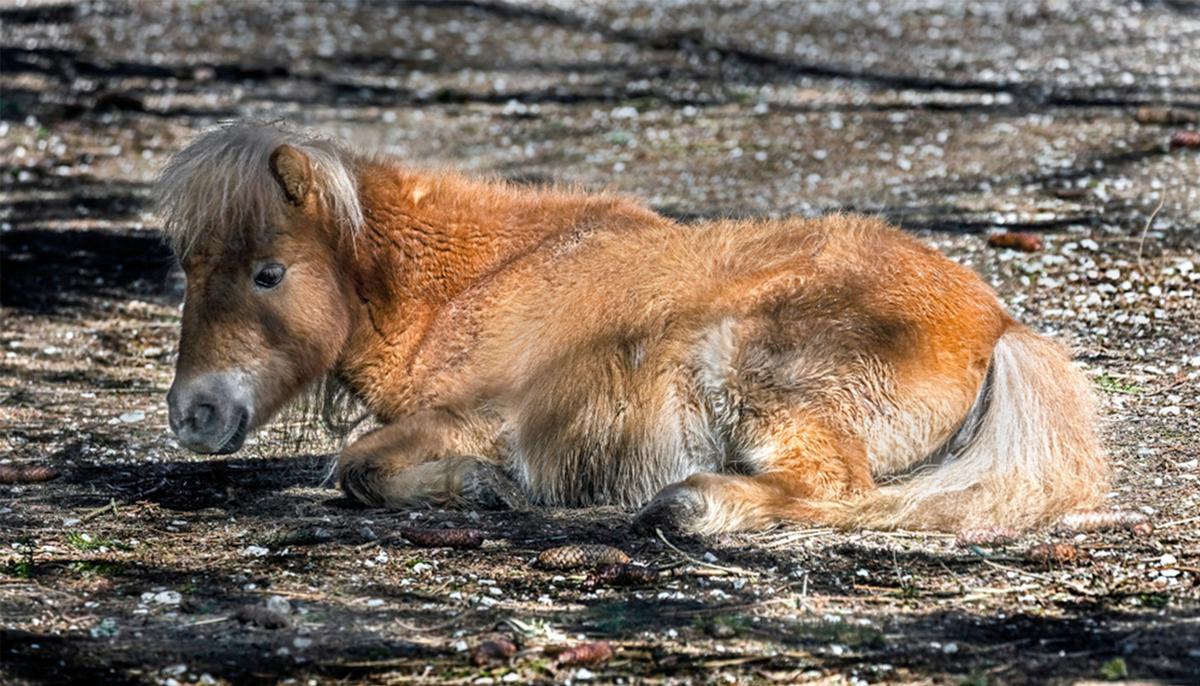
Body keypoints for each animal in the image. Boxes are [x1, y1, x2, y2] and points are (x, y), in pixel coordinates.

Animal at [157, 122, 1109, 535]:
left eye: (268, 272)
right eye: (188, 269)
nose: (192, 415)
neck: (480, 279)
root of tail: (1000, 323)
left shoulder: (483, 418)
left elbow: (358, 466)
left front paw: (482, 488)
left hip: (753, 368)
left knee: (838, 489)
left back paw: (691, 504)